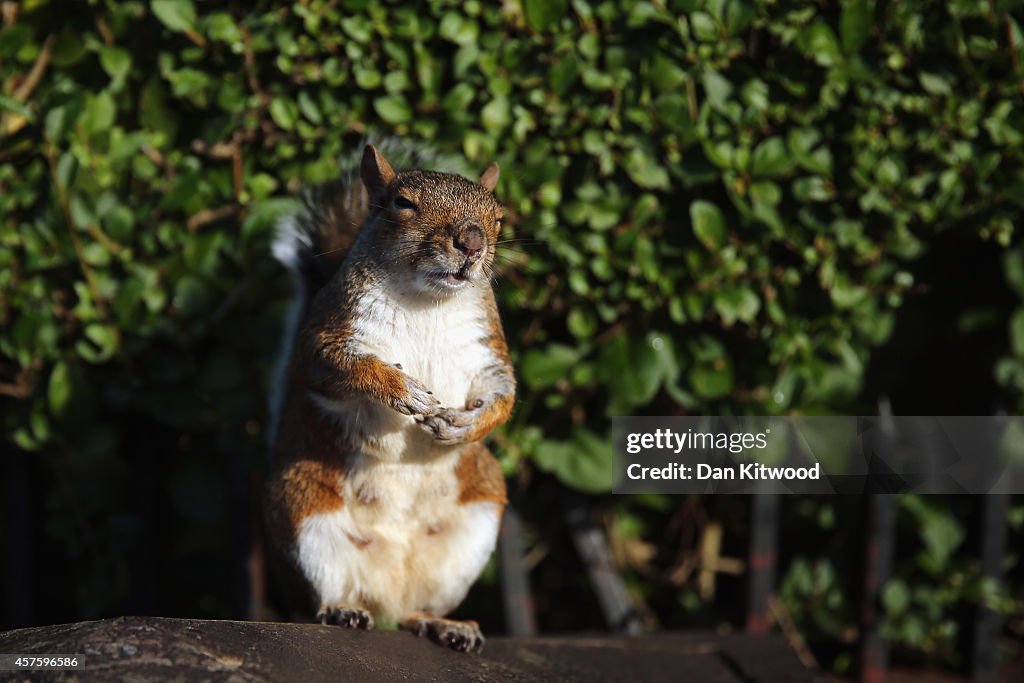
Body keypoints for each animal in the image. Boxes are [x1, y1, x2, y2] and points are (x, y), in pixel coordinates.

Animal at [264, 141, 516, 655]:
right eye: (403, 204)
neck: (428, 301)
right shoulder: (326, 339)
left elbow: (504, 395)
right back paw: (340, 610)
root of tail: (387, 595)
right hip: (304, 514)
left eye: (498, 217)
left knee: (411, 612)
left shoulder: (489, 356)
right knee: (324, 594)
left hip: (475, 523)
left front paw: (465, 425)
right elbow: (344, 369)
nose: (472, 243)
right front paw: (402, 390)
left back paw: (442, 624)